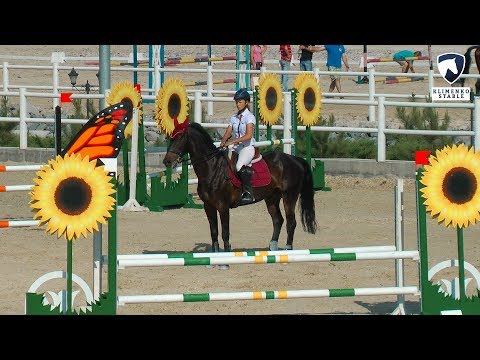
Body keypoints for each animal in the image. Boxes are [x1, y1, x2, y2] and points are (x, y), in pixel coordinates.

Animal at [163, 121, 316, 253]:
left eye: (180, 138)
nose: (167, 162)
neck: (212, 168)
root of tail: (294, 159)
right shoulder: (208, 206)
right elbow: (214, 232)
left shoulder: (222, 206)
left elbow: (225, 233)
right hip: (272, 197)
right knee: (278, 220)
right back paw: (272, 246)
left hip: (289, 196)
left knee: (291, 222)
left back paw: (288, 248)